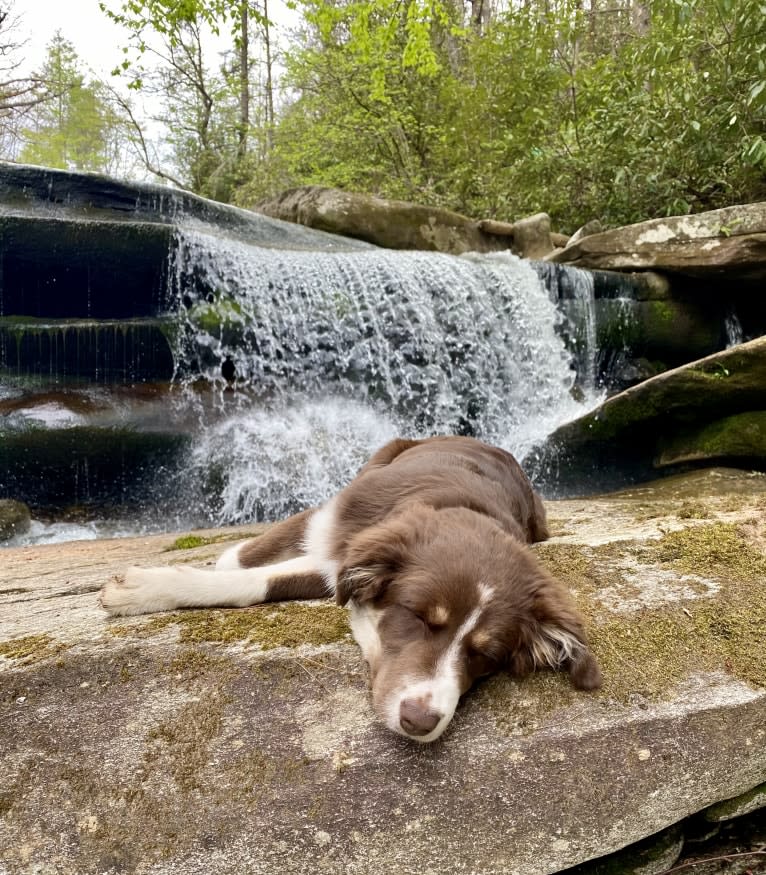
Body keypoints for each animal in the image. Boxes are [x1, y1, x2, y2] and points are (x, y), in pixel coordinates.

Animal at [99, 434, 604, 744]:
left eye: (486, 655)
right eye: (418, 618)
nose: (418, 721)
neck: (460, 507)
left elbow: (260, 581)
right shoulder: (334, 521)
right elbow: (243, 564)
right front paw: (144, 587)